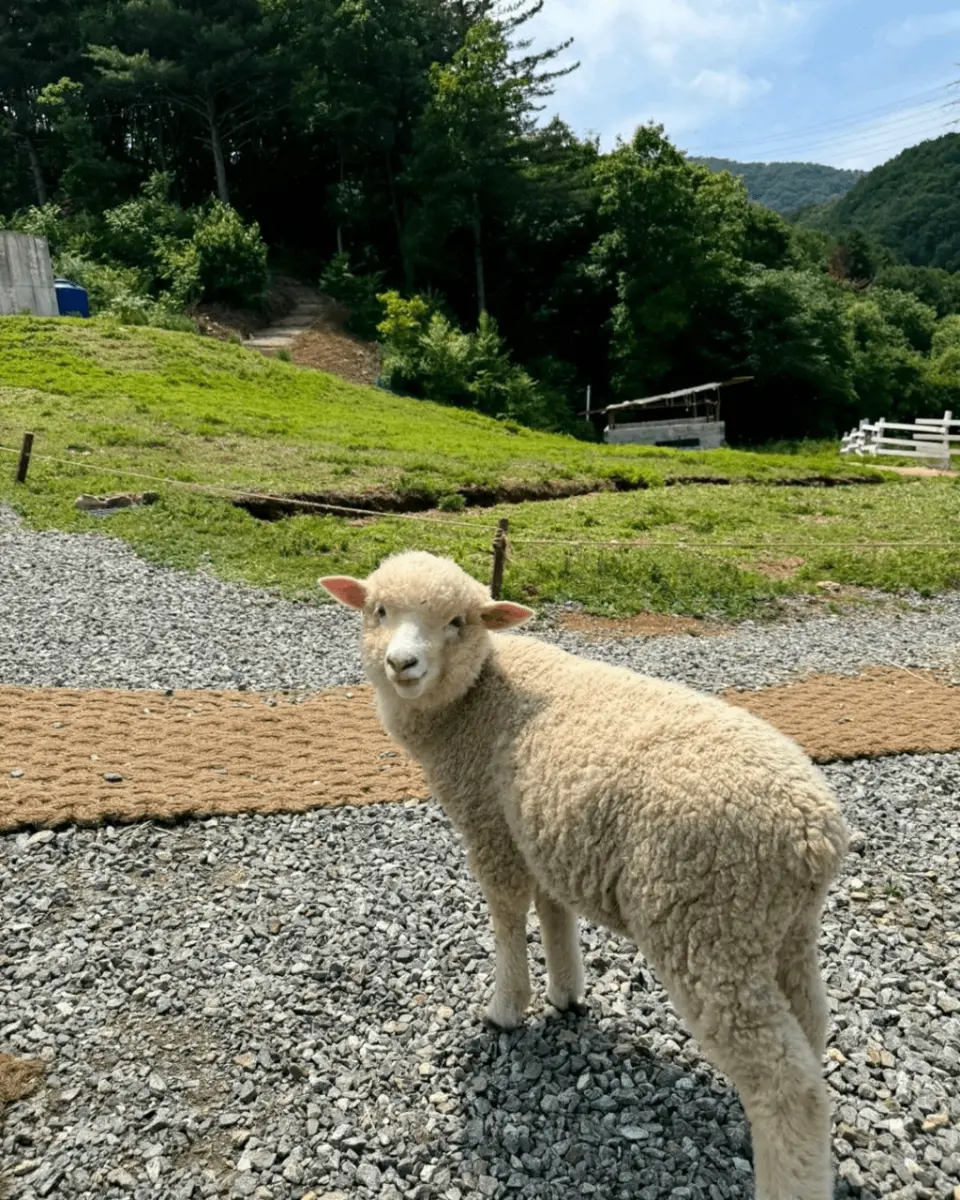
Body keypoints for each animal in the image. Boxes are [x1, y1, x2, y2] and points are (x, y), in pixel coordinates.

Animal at [320, 550, 849, 1200]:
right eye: (378, 610)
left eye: (458, 623)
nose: (402, 664)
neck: (474, 699)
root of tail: (814, 834)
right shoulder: (543, 831)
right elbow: (554, 910)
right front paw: (566, 992)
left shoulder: (490, 823)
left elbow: (507, 913)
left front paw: (507, 1007)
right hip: (780, 929)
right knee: (812, 1029)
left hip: (709, 928)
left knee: (786, 1088)